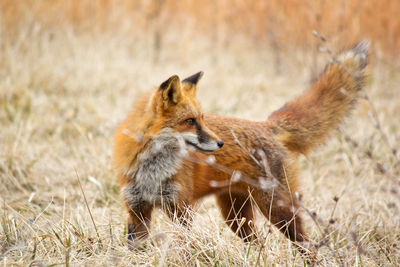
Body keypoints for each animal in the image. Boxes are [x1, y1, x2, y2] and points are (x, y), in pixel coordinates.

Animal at [112, 41, 368, 249]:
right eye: (190, 121)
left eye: (202, 118)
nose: (220, 143)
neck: (152, 170)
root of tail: (266, 125)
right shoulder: (136, 210)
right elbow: (134, 246)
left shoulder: (180, 209)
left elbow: (185, 243)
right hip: (236, 217)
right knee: (259, 244)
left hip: (279, 211)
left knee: (308, 246)